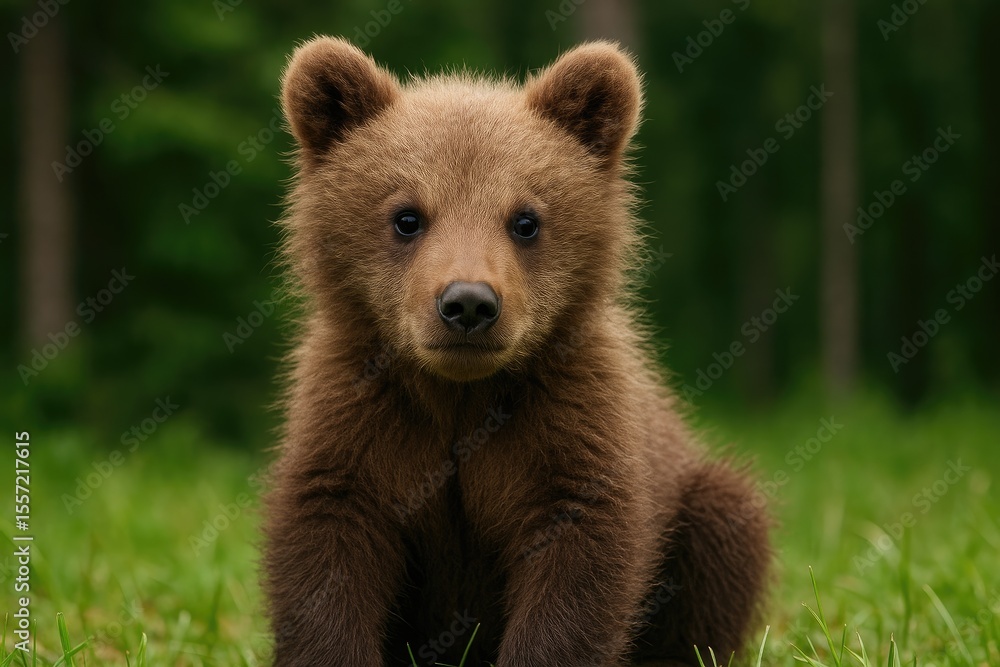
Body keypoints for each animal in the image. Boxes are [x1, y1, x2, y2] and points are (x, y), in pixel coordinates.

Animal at [263, 36, 771, 667]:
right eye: (407, 216)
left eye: (525, 220)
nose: (468, 304)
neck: (459, 396)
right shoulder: (357, 417)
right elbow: (328, 552)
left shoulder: (569, 422)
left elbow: (576, 565)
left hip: (695, 501)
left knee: (725, 533)